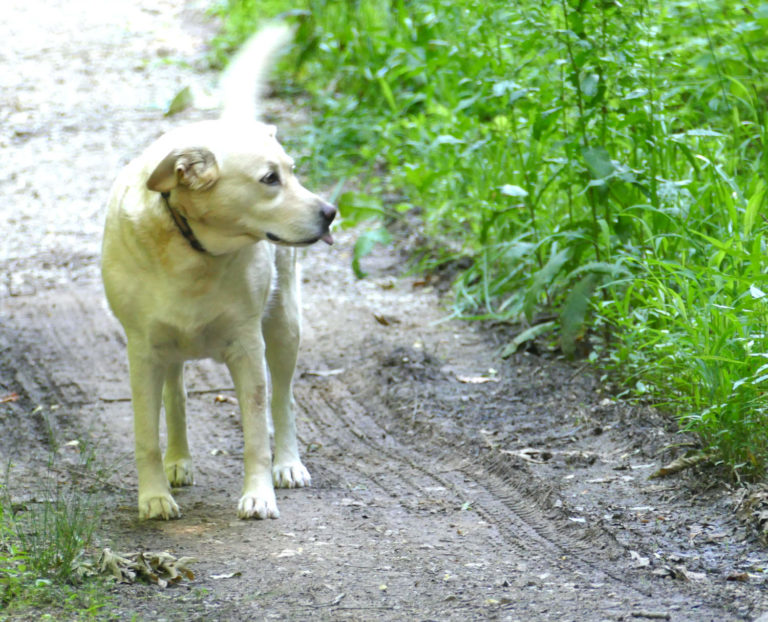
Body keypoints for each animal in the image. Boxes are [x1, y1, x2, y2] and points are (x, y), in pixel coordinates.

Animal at [100, 25, 334, 520]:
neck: (194, 254)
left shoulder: (247, 347)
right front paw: (153, 496)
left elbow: (256, 431)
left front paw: (259, 495)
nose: (331, 213)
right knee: (176, 396)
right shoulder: (142, 352)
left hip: (284, 324)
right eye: (269, 179)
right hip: (168, 351)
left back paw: (288, 464)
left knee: (283, 399)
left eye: (294, 172)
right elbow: (146, 435)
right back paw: (178, 461)